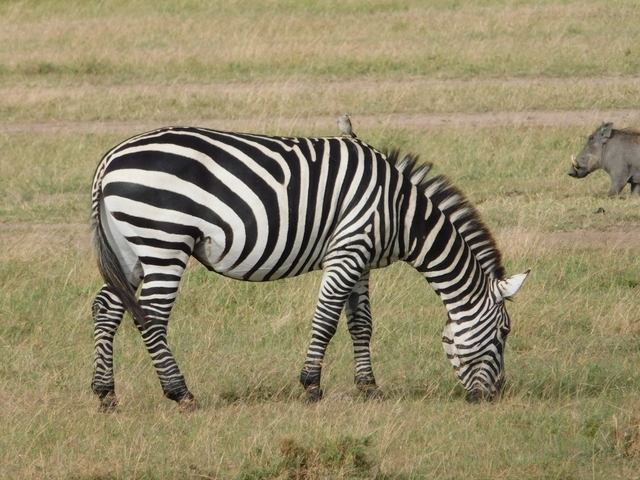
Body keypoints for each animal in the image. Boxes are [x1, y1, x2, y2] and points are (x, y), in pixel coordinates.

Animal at [90, 126, 529, 411]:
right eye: (504, 333)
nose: (494, 398)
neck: (402, 213)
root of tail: (109, 159)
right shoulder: (348, 249)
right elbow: (326, 320)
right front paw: (312, 387)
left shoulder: (360, 260)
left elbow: (361, 323)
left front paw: (369, 388)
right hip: (164, 241)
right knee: (151, 317)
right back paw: (180, 393)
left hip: (129, 248)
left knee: (106, 309)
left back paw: (105, 394)